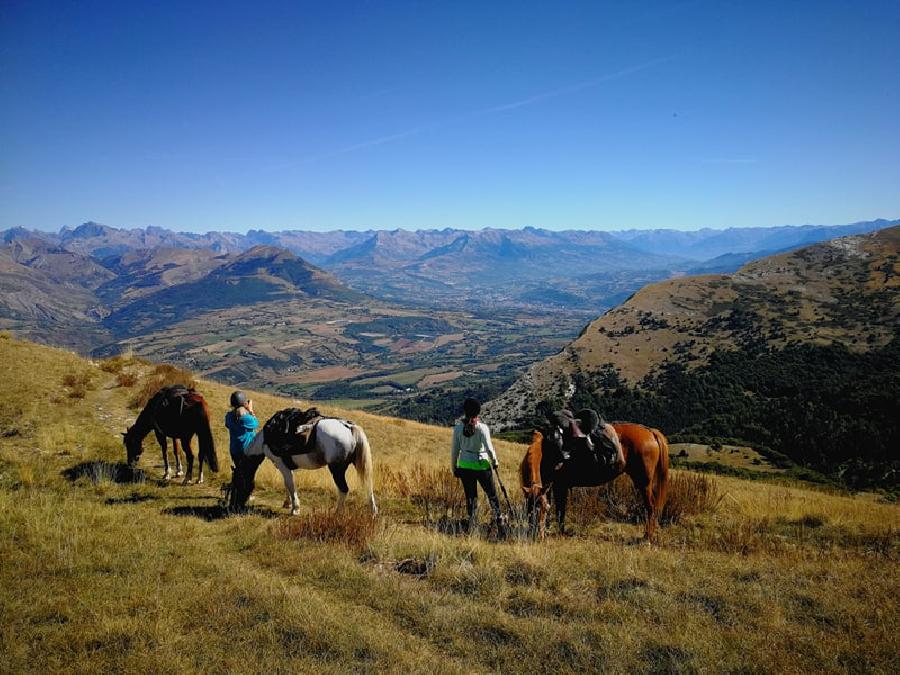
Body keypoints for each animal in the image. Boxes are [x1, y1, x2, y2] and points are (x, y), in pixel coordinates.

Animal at [520, 410, 668, 540]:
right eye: (530, 509)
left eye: (543, 510)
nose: (538, 536)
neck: (546, 449)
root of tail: (650, 431)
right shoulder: (548, 485)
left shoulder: (559, 485)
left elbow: (560, 511)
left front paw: (560, 533)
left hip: (644, 483)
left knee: (651, 507)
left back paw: (648, 536)